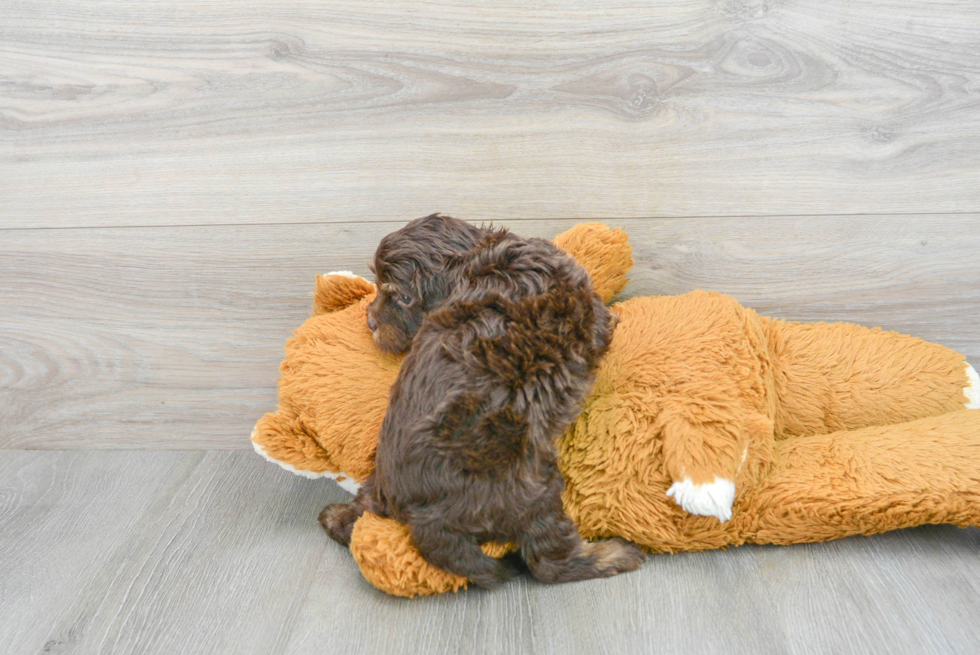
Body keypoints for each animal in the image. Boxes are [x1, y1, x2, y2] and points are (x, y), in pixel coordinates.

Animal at [318, 215, 648, 588]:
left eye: (403, 297)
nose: (370, 321)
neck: (480, 258)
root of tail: (423, 517)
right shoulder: (589, 312)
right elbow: (605, 319)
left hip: (382, 477)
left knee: (364, 506)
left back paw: (337, 516)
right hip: (531, 489)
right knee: (549, 560)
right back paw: (616, 554)